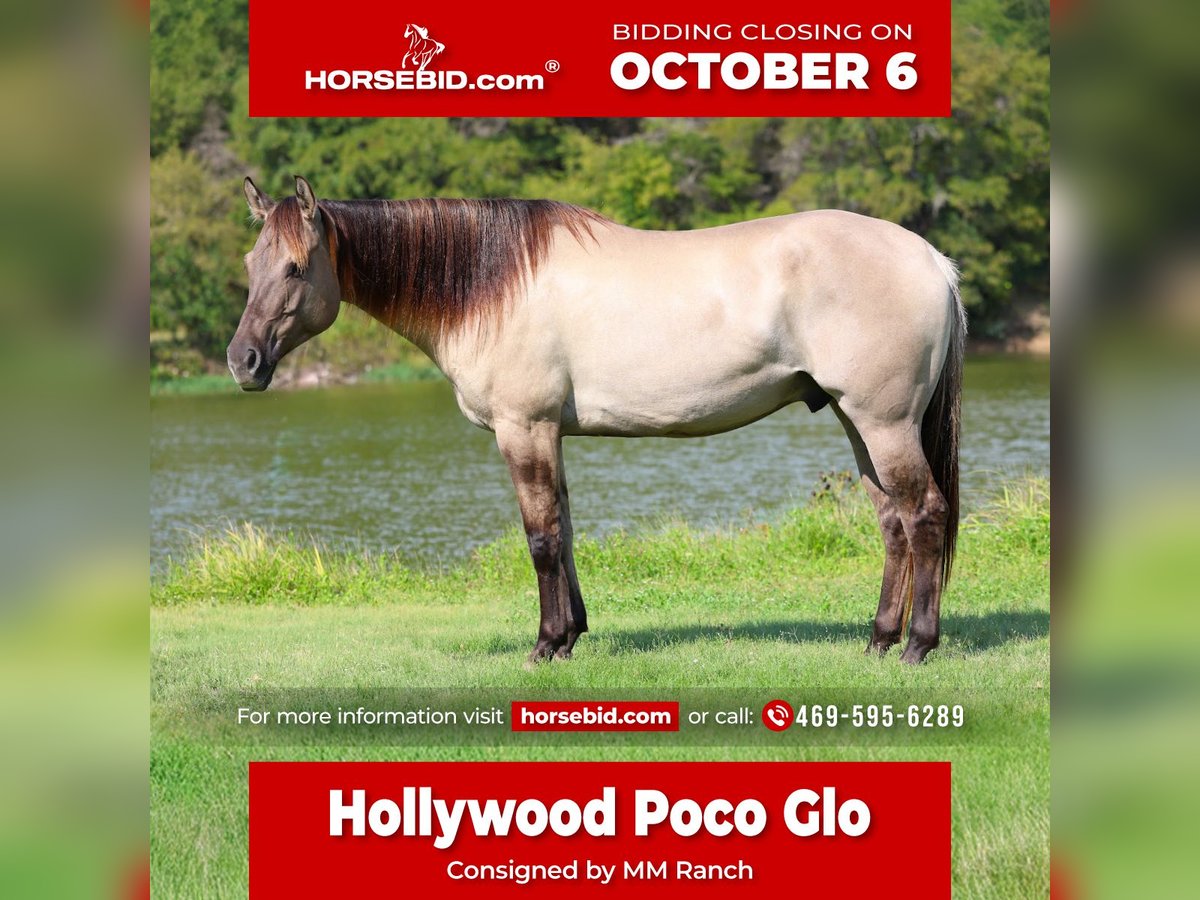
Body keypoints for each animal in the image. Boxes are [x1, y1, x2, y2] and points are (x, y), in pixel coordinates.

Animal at [229, 176, 966, 665]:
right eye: (249, 264)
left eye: (295, 267)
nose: (243, 361)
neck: (492, 284)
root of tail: (933, 259)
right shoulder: (548, 433)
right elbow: (564, 529)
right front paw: (571, 634)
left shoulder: (523, 428)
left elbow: (541, 538)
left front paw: (545, 645)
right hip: (858, 421)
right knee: (893, 523)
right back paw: (877, 641)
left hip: (883, 422)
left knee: (925, 514)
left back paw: (917, 647)